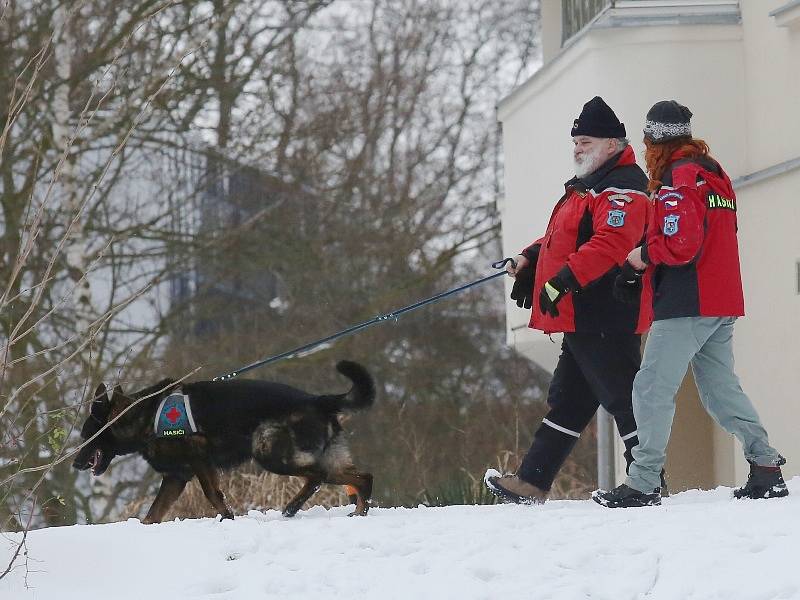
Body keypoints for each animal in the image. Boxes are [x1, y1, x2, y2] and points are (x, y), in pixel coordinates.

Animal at [71, 360, 376, 520]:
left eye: (86, 437)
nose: (74, 464)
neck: (143, 414)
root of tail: (317, 400)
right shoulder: (176, 477)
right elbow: (153, 515)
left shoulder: (199, 463)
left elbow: (212, 495)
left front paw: (228, 518)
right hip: (320, 456)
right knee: (361, 477)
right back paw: (359, 513)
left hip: (269, 453)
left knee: (318, 475)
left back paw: (292, 508)